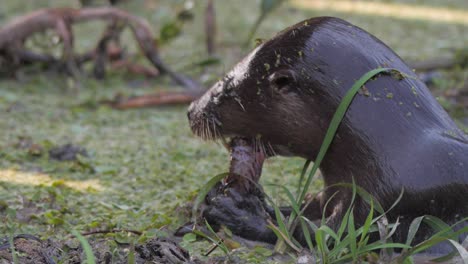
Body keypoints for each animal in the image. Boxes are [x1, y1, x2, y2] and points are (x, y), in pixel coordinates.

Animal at [186, 16, 468, 252]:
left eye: (225, 89)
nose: (190, 111)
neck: (396, 151)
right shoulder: (333, 192)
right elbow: (299, 210)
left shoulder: (390, 201)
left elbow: (309, 234)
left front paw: (235, 211)